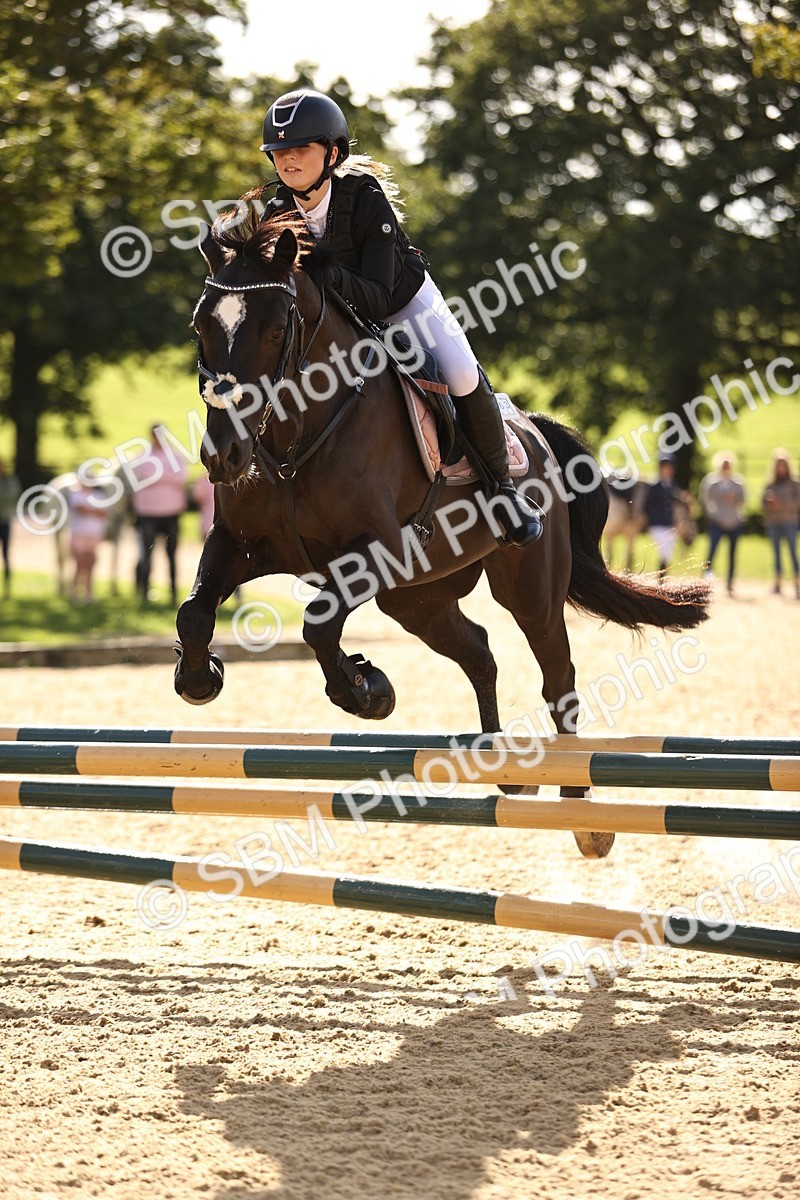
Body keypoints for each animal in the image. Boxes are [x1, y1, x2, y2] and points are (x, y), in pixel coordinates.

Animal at [174, 211, 712, 859]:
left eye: (277, 328)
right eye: (202, 325)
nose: (222, 457)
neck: (295, 432)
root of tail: (532, 430)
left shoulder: (375, 553)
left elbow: (319, 624)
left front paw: (366, 692)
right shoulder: (241, 542)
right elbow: (194, 612)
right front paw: (199, 679)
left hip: (526, 587)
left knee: (557, 675)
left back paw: (583, 814)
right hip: (416, 597)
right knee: (478, 649)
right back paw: (507, 771)